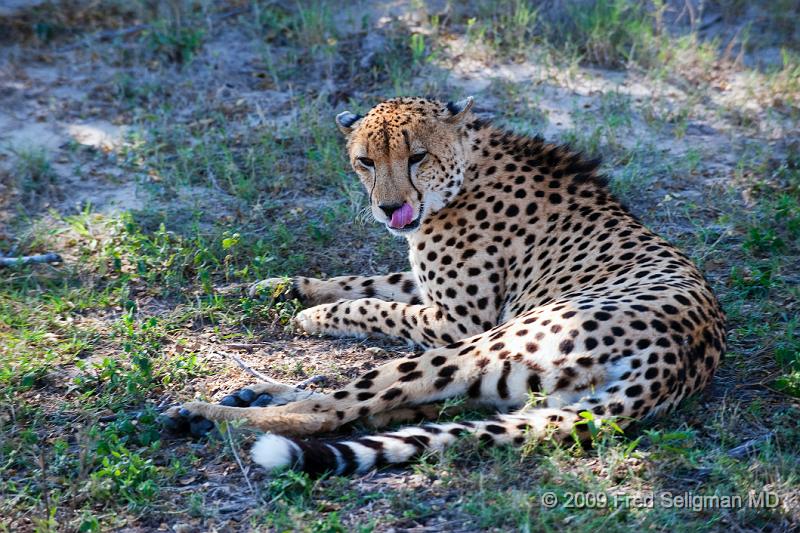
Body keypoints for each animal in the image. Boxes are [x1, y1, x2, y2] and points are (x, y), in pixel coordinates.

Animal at [164, 96, 726, 476]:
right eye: (366, 161)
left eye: (416, 156)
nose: (390, 208)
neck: (466, 170)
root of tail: (679, 361)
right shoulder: (426, 288)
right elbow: (366, 281)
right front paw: (276, 288)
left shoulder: (457, 320)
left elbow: (373, 305)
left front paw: (311, 315)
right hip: (515, 389)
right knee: (389, 405)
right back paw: (256, 391)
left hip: (476, 347)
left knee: (332, 410)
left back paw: (205, 413)